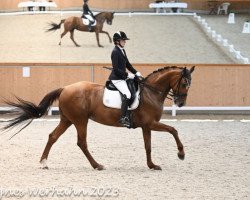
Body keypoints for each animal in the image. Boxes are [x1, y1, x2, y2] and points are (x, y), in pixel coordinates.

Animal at [2, 66, 196, 170]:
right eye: (185, 83)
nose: (180, 103)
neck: (150, 92)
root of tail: (65, 88)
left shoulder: (146, 126)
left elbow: (148, 146)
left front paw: (152, 165)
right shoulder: (151, 123)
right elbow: (173, 130)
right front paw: (181, 154)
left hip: (67, 120)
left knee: (53, 137)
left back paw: (43, 162)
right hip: (80, 120)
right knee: (81, 142)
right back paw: (97, 165)